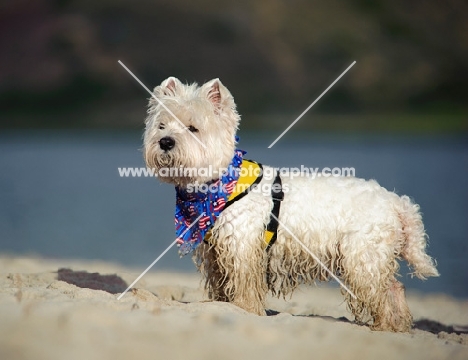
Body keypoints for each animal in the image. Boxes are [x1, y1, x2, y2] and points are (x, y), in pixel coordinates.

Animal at [143, 77, 438, 334]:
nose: (165, 142)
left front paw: (246, 309)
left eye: (193, 128)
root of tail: (396, 201)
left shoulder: (242, 245)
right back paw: (398, 326)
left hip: (363, 257)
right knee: (394, 287)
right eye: (162, 125)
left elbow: (244, 284)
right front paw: (223, 305)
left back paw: (385, 326)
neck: (219, 184)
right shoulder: (216, 251)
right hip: (373, 256)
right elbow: (223, 284)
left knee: (383, 292)